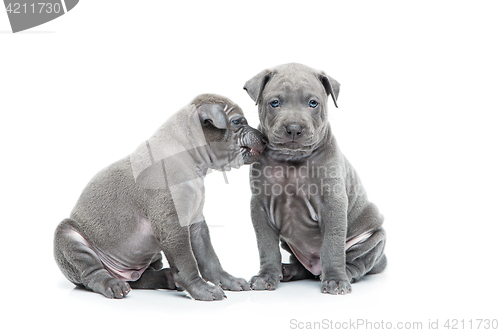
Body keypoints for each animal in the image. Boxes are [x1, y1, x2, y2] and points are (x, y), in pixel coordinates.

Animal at [54, 94, 266, 300]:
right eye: (237, 121)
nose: (264, 138)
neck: (192, 161)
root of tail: (121, 274)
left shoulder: (196, 224)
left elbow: (209, 259)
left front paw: (227, 280)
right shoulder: (172, 226)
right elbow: (187, 262)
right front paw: (201, 289)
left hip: (152, 257)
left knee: (141, 278)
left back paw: (167, 277)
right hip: (68, 237)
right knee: (92, 274)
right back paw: (112, 284)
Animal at [245, 63, 386, 294]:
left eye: (313, 103)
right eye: (275, 103)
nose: (294, 128)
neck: (291, 160)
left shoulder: (332, 203)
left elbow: (332, 245)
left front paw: (335, 280)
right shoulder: (259, 206)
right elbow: (266, 246)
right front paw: (266, 277)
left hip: (372, 237)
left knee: (357, 263)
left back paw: (343, 274)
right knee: (302, 268)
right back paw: (287, 270)